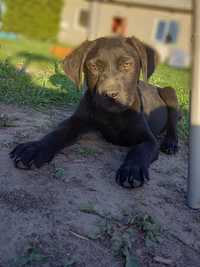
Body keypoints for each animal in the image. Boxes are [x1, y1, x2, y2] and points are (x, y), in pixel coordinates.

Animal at [9, 36, 179, 189]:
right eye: (94, 67)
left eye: (127, 64)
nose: (110, 94)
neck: (113, 115)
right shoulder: (76, 121)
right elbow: (57, 133)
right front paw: (35, 149)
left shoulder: (149, 139)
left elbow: (140, 149)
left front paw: (132, 170)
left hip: (170, 92)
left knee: (173, 124)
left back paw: (170, 143)